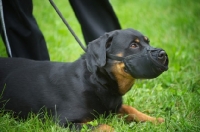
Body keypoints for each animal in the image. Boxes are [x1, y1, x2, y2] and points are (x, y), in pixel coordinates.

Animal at [0, 28, 168, 131]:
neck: (98, 83)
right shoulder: (62, 123)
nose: (163, 54)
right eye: (133, 45)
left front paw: (156, 120)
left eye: (148, 41)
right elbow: (104, 126)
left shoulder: (113, 108)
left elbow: (131, 109)